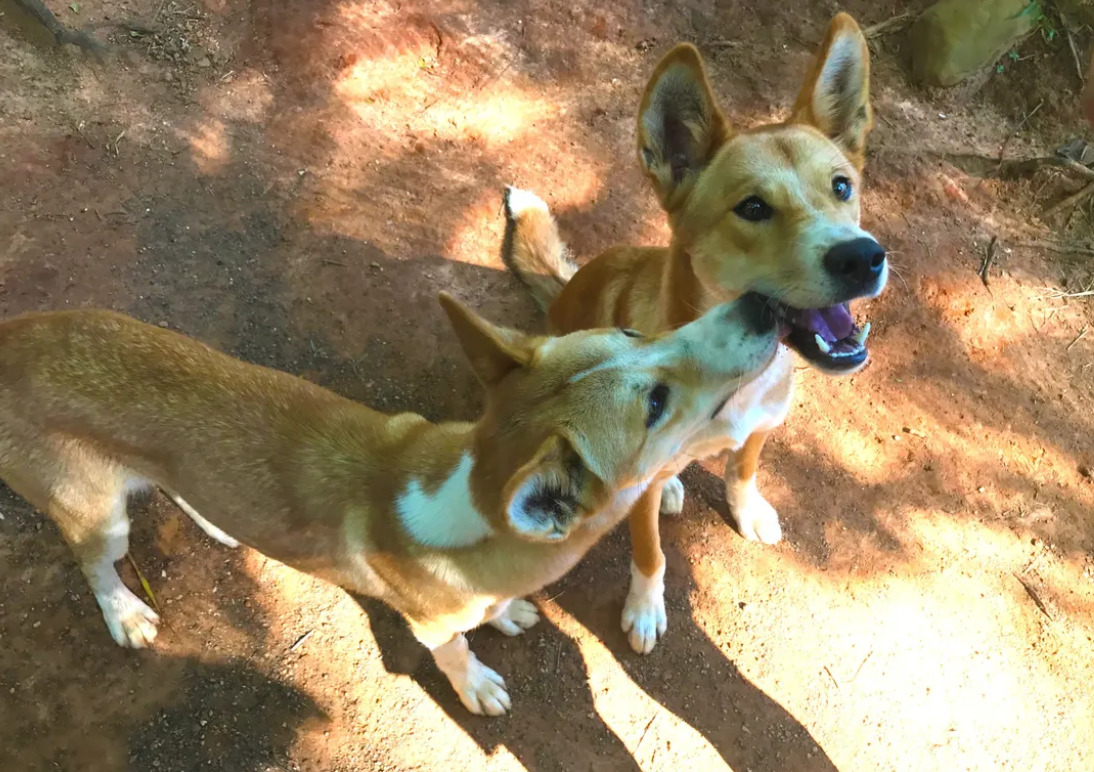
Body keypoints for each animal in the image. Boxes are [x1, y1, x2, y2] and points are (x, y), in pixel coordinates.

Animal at [0, 293, 777, 715]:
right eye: (655, 404)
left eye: (633, 333)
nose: (763, 305)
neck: (472, 498)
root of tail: (11, 337)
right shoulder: (432, 626)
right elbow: (456, 653)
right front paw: (477, 683)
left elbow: (493, 612)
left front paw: (507, 613)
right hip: (97, 516)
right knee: (97, 564)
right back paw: (125, 613)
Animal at [501, 13, 888, 654]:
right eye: (753, 208)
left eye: (841, 186)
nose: (863, 257)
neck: (739, 374)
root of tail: (560, 292)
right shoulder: (637, 496)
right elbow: (652, 555)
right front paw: (645, 609)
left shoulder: (763, 425)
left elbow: (744, 468)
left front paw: (748, 508)